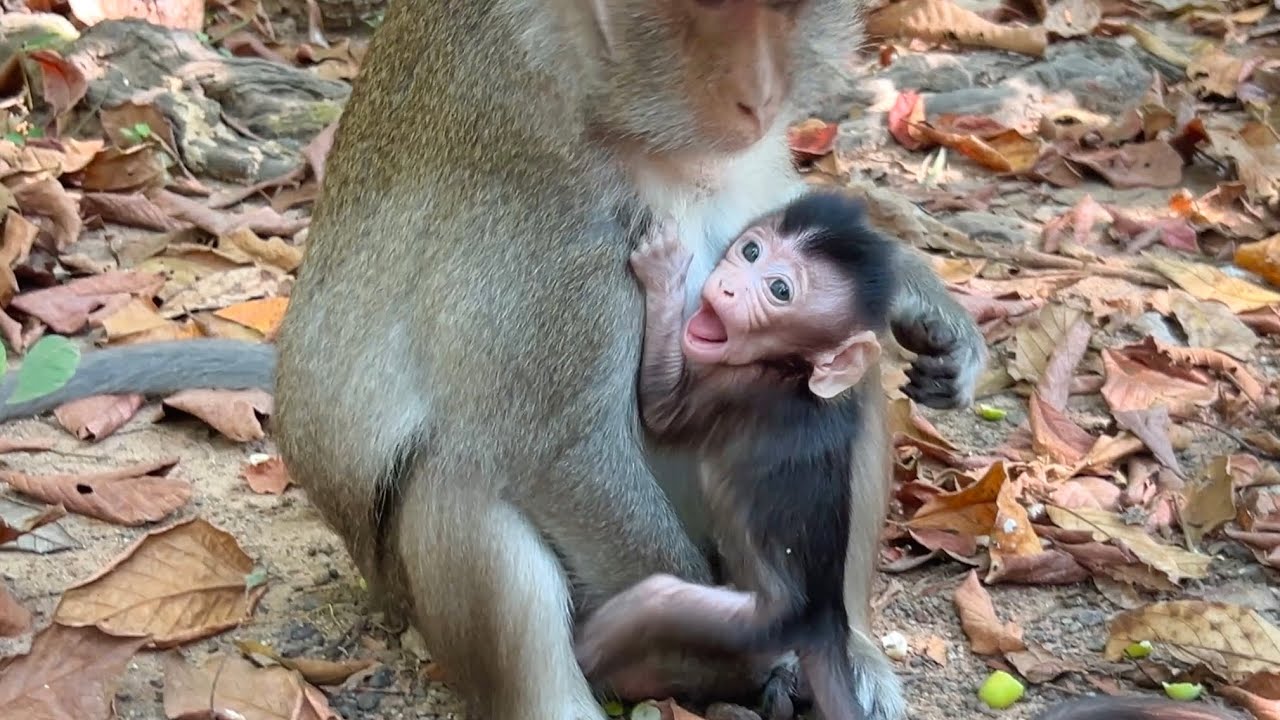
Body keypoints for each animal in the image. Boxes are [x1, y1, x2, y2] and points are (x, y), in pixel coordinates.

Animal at [575, 190, 896, 720]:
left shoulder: (737, 389)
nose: (726, 288)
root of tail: (826, 620)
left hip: (760, 625)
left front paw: (665, 274)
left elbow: (660, 413)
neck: (791, 371)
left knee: (659, 600)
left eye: (779, 290)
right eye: (751, 251)